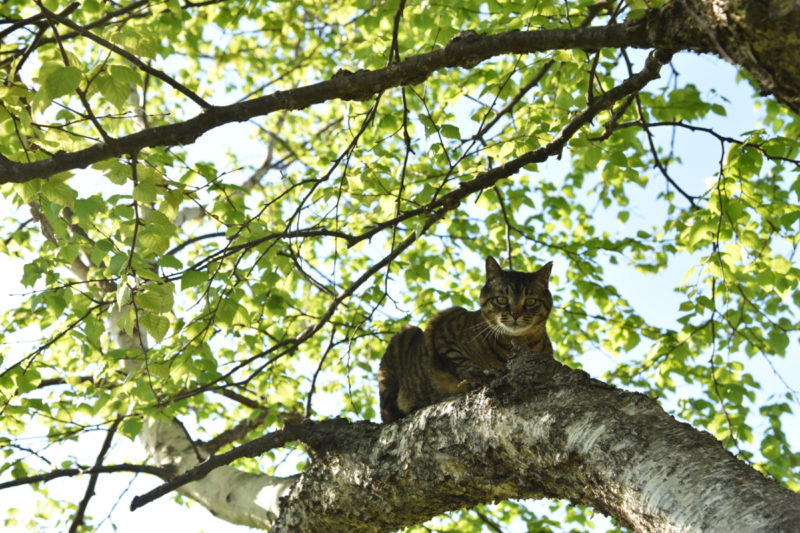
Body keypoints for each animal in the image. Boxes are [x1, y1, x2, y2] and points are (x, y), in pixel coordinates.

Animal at [378, 256, 552, 422]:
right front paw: (478, 375)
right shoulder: (443, 325)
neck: (518, 341)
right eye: (501, 299)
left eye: (530, 301)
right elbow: (460, 362)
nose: (515, 314)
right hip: (405, 337)